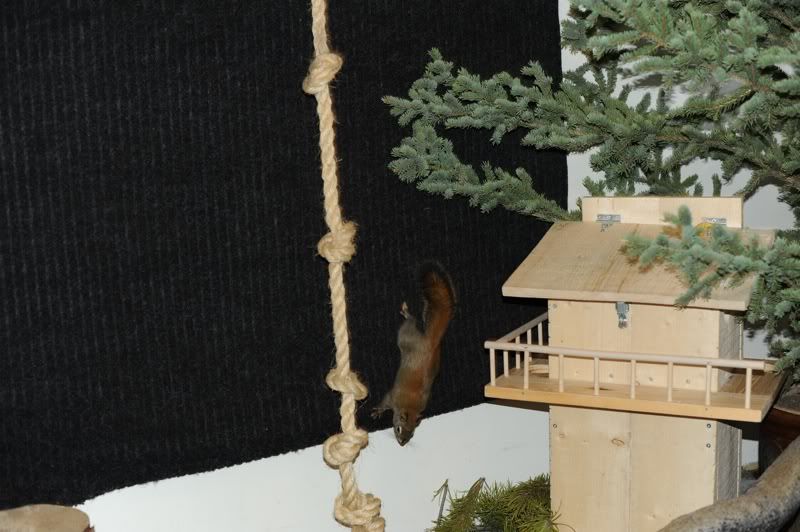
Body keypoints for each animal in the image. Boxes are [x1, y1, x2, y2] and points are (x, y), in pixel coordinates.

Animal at [371, 261, 456, 446]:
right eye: (399, 429)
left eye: (412, 434)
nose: (402, 443)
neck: (411, 407)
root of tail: (431, 343)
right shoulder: (393, 397)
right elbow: (384, 401)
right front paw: (378, 411)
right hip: (406, 336)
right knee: (412, 321)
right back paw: (407, 313)